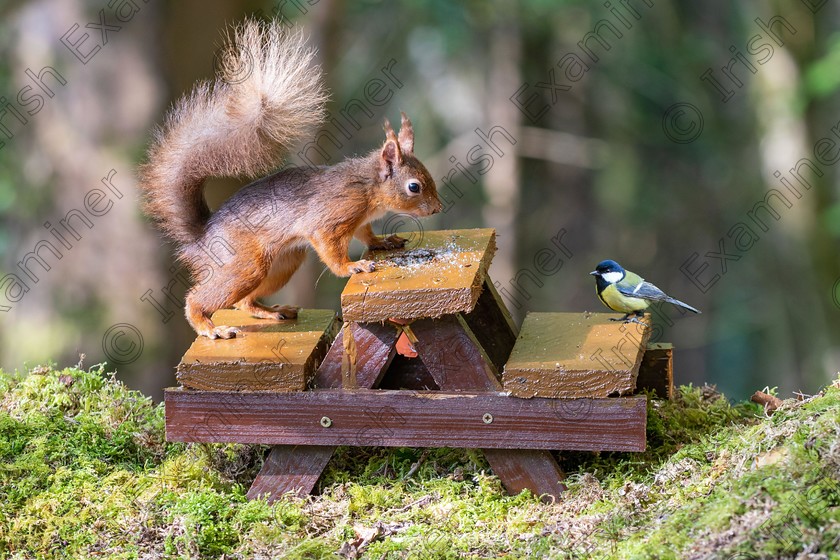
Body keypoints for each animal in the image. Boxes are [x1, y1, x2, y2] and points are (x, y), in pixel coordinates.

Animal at [139, 20, 442, 336]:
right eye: (414, 187)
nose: (437, 208)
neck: (368, 188)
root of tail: (201, 236)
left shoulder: (359, 220)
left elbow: (366, 234)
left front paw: (382, 242)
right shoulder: (331, 218)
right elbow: (331, 250)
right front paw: (351, 267)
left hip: (283, 263)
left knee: (244, 303)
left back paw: (272, 311)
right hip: (245, 264)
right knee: (200, 298)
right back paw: (210, 328)